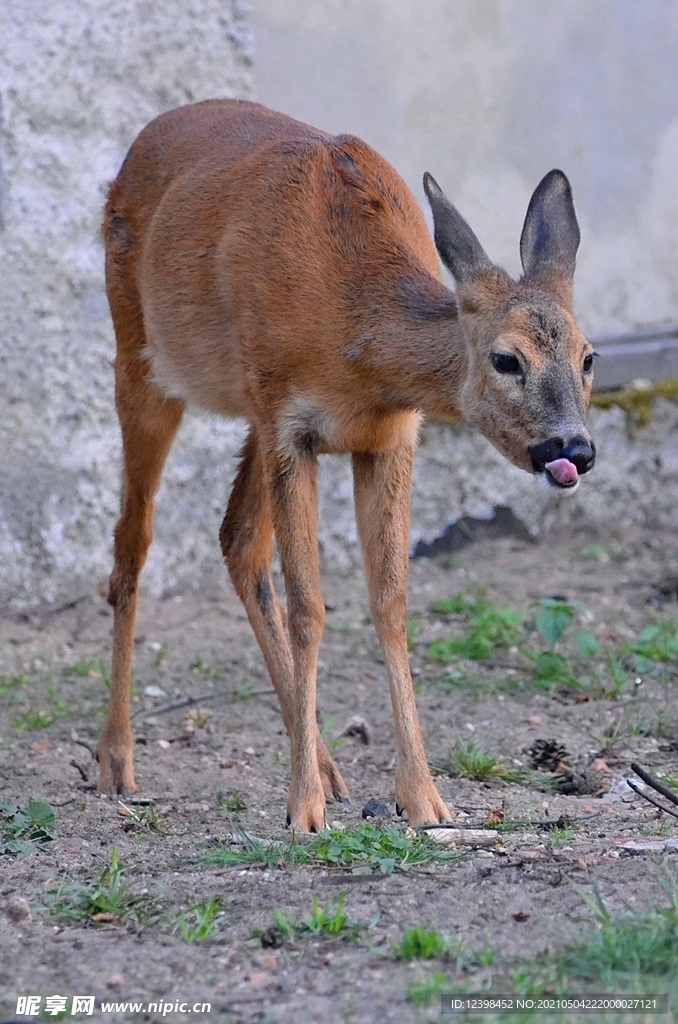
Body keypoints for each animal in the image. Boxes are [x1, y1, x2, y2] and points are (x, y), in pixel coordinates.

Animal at [98, 97, 598, 831]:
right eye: (507, 359)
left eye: (589, 357)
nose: (573, 449)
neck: (357, 346)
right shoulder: (290, 423)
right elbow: (310, 608)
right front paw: (302, 809)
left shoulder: (387, 438)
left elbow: (390, 600)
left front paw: (424, 798)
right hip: (142, 361)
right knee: (132, 543)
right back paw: (116, 759)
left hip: (247, 412)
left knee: (237, 539)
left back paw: (330, 767)